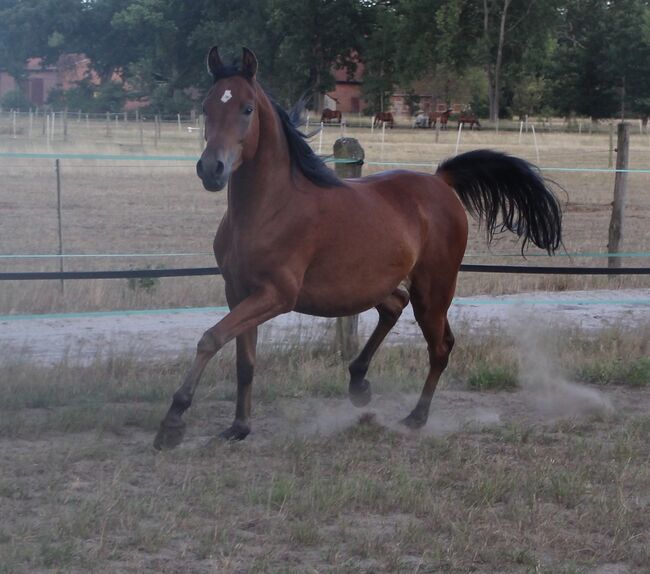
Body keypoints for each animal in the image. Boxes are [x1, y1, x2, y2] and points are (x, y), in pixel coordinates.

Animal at [149, 46, 560, 450]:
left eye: (247, 108)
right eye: (206, 107)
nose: (211, 169)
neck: (269, 208)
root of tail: (441, 181)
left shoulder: (276, 295)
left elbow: (210, 338)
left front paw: (172, 423)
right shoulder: (237, 291)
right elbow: (243, 361)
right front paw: (238, 427)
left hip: (434, 289)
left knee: (441, 347)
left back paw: (415, 417)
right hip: (372, 284)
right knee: (395, 306)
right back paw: (359, 383)